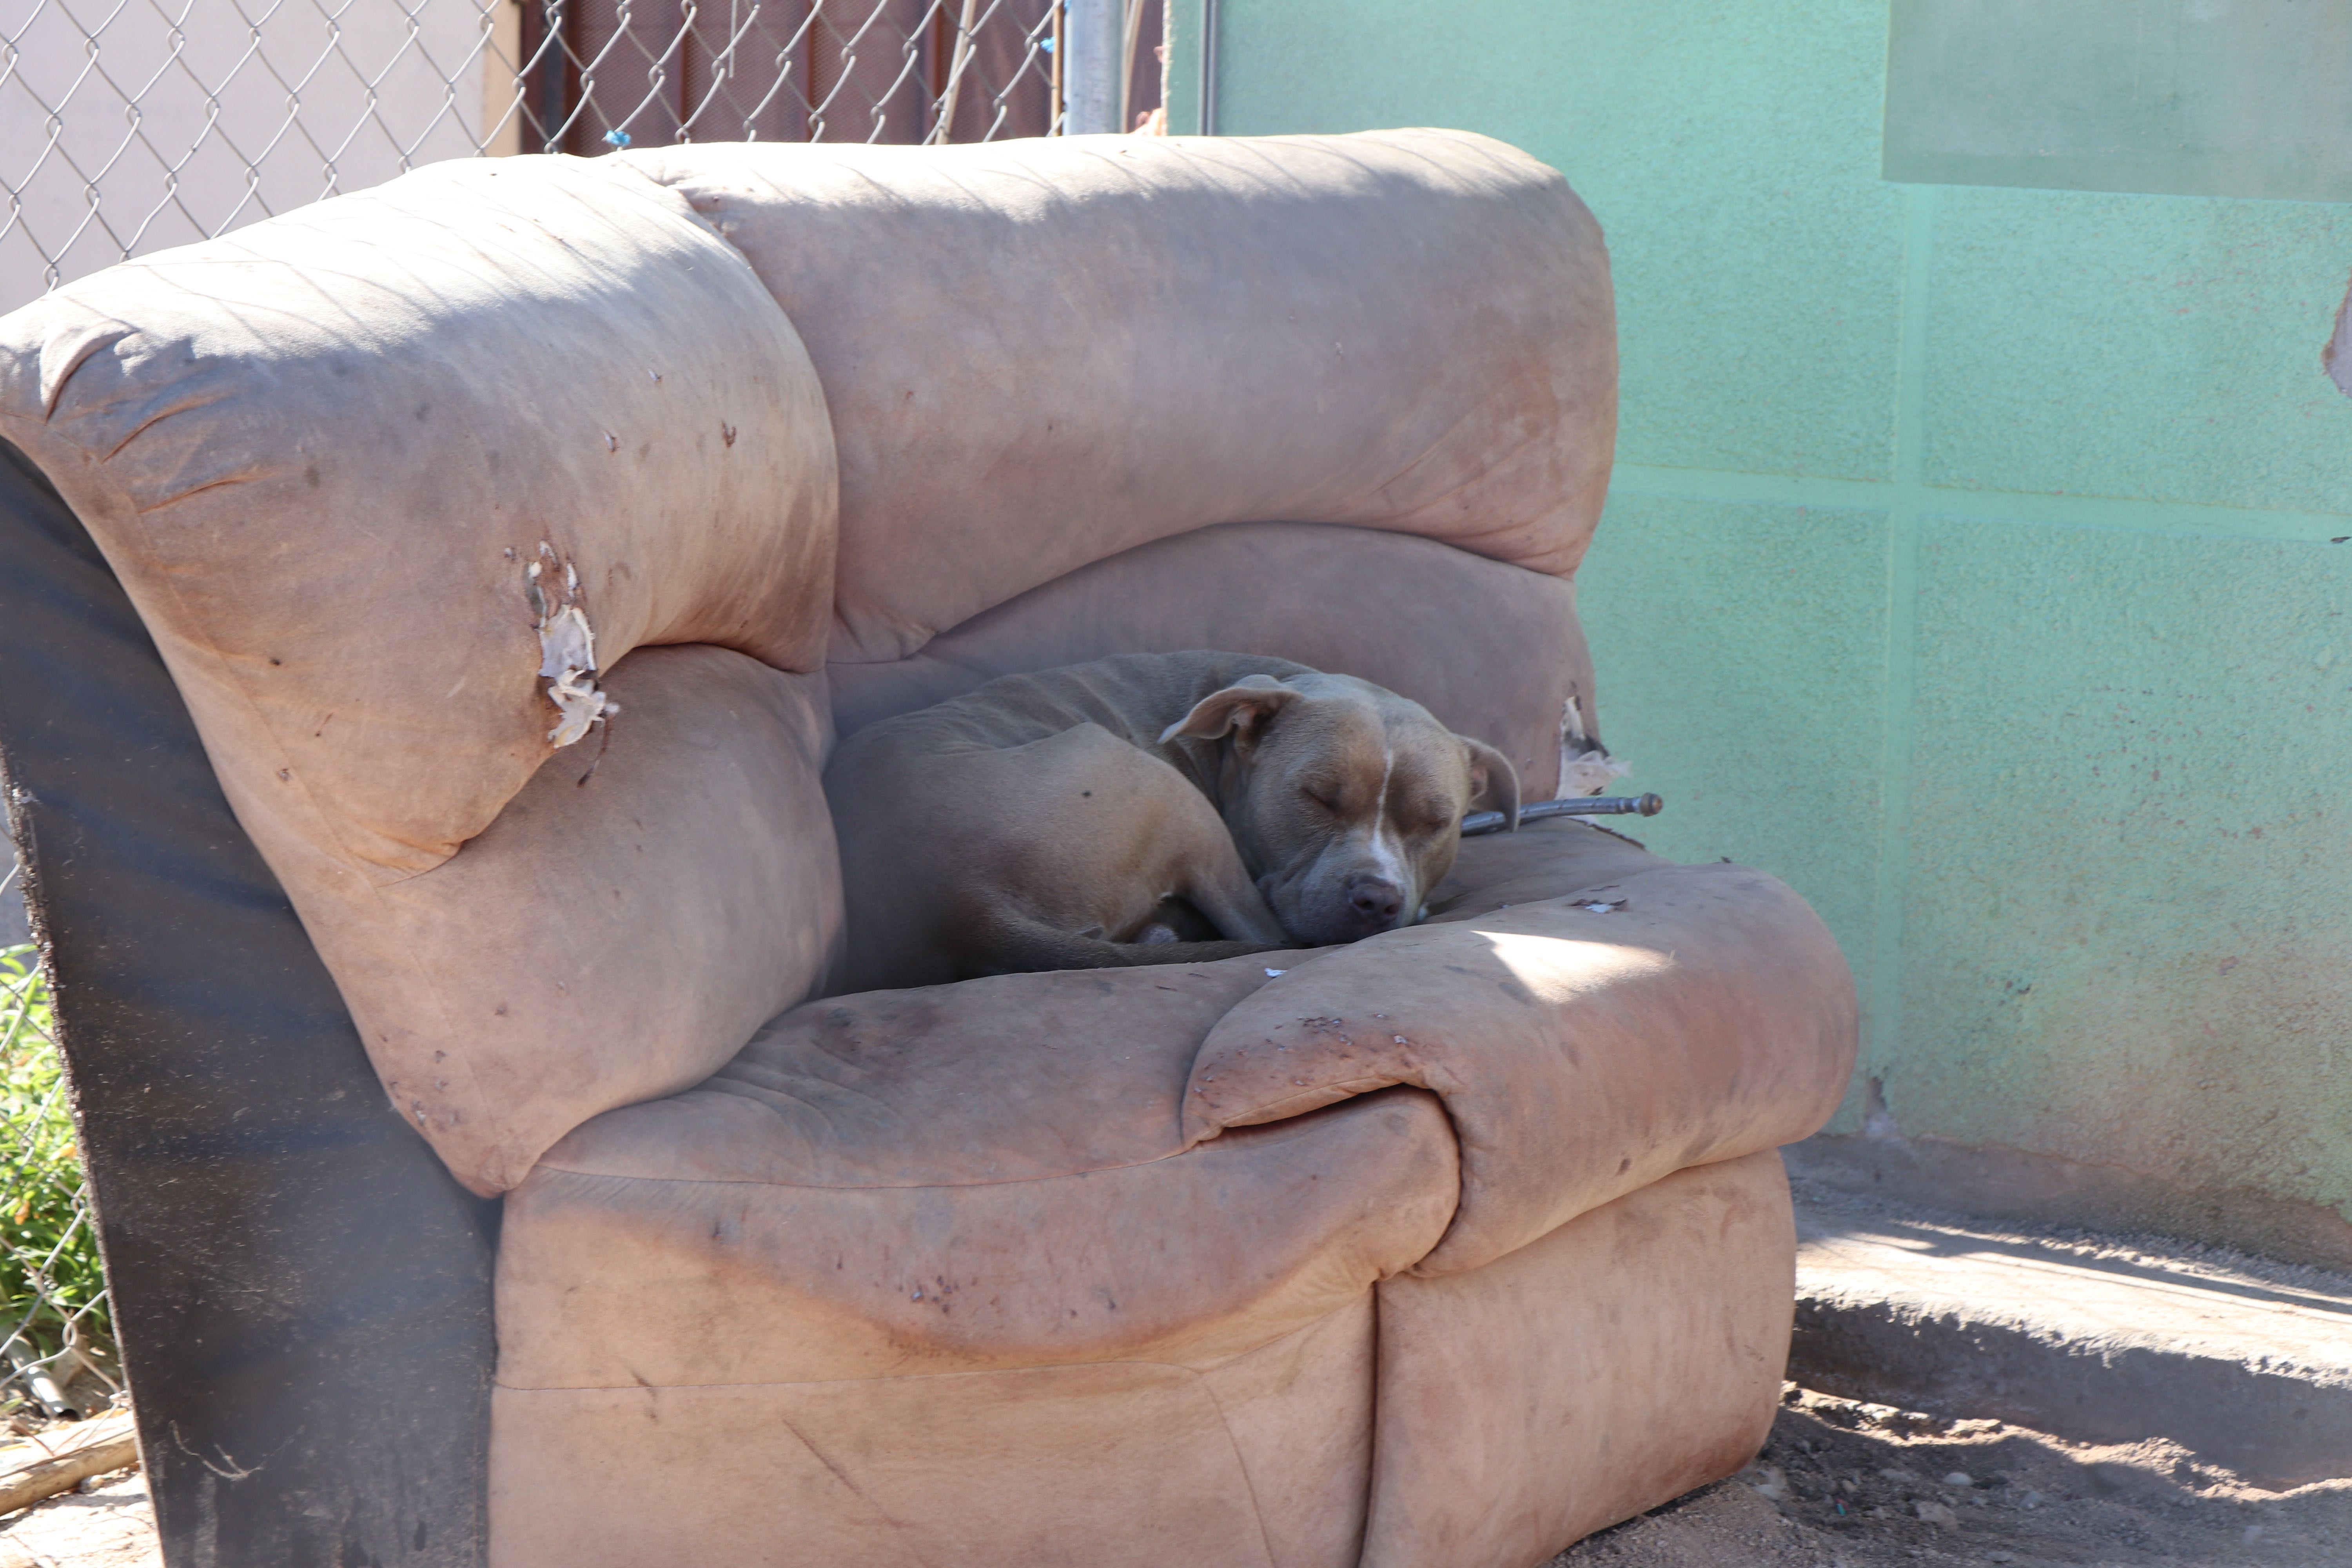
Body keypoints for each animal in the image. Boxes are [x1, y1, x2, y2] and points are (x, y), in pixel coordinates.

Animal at [828, 649, 1524, 992]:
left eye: (1434, 822)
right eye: (1317, 797)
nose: (1379, 899)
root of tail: (961, 905)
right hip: (1161, 790)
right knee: (1263, 929)